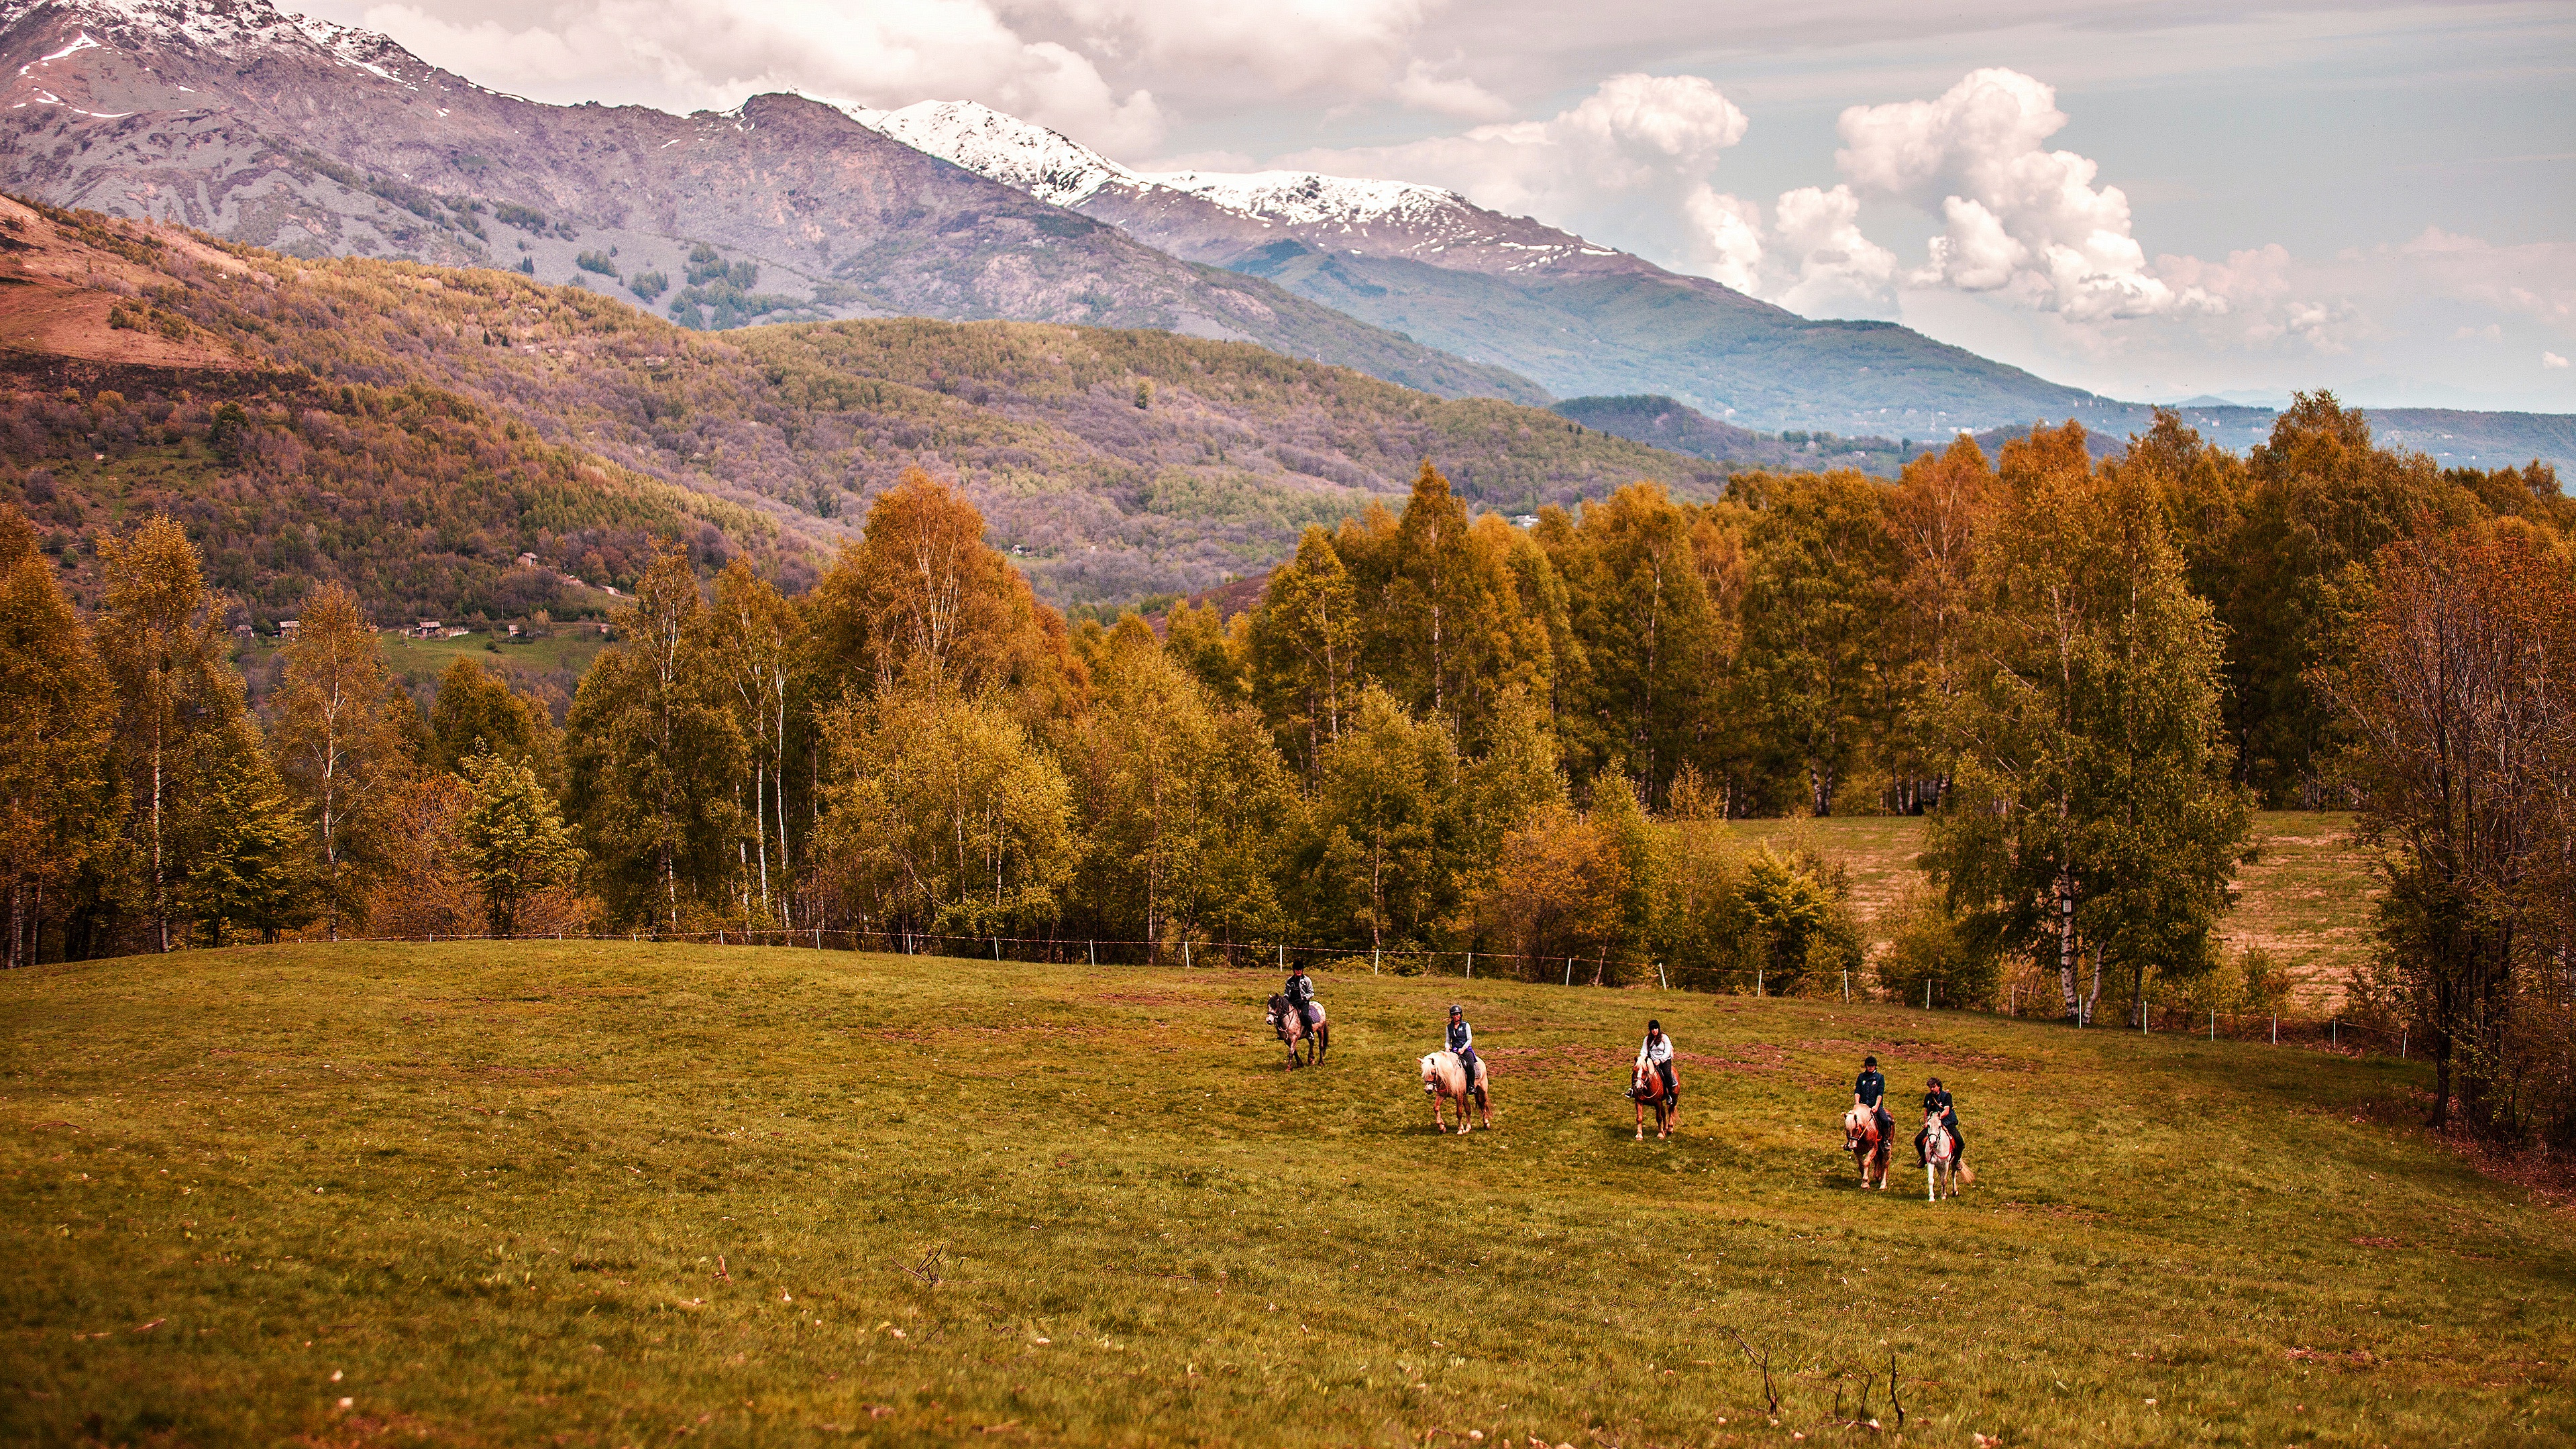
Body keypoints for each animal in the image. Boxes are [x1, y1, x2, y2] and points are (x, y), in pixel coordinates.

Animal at [1421, 1041, 1504, 1134]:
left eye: (1433, 1072)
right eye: (1423, 1073)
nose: (1428, 1090)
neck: (1448, 1075)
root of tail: (1480, 1061)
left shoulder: (1459, 1096)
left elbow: (1459, 1113)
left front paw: (1460, 1130)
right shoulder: (1442, 1095)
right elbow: (1436, 1108)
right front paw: (1442, 1127)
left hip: (1482, 1090)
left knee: (1483, 1105)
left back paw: (1486, 1124)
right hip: (1465, 1095)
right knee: (1468, 1108)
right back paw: (1468, 1128)